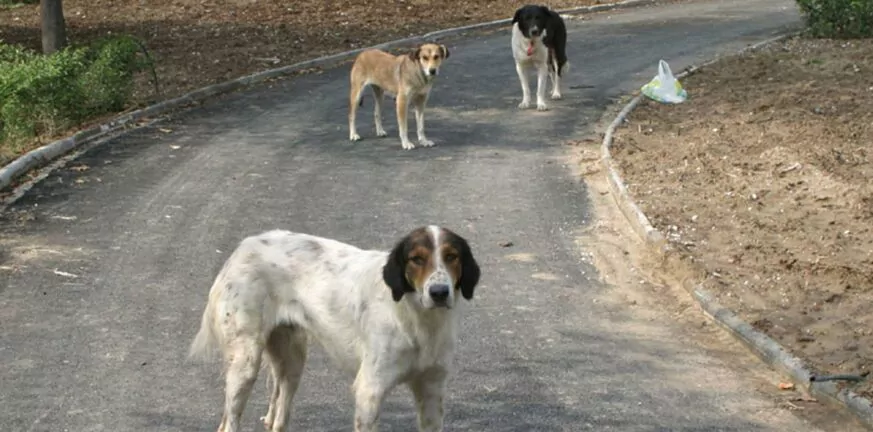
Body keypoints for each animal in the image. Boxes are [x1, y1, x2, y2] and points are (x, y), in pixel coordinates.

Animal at [186, 224, 480, 430]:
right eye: (416, 259)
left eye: (452, 256)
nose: (439, 292)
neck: (417, 318)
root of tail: (243, 247)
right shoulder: (369, 392)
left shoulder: (432, 390)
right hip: (245, 364)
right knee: (228, 424)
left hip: (292, 362)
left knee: (278, 419)